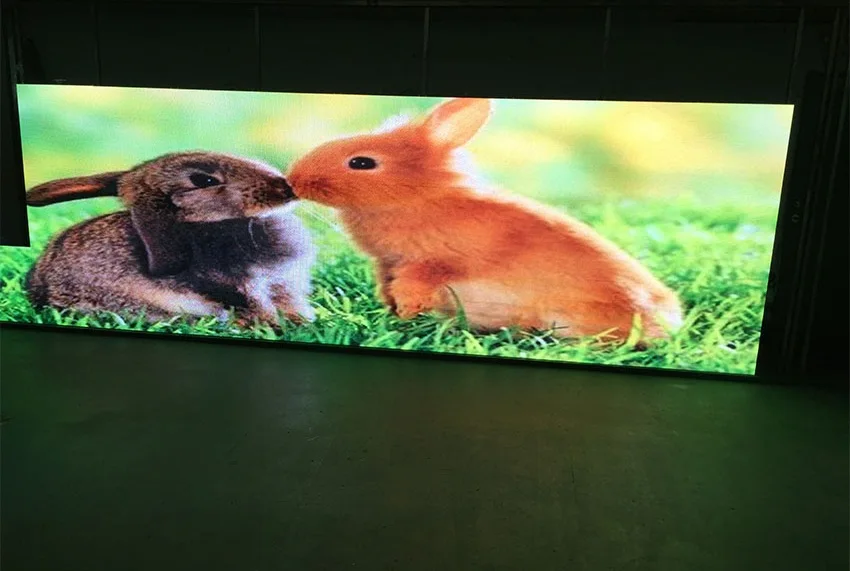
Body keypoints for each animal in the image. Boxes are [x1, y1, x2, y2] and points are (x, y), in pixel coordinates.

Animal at [287, 98, 683, 342]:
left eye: (362, 163)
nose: (293, 180)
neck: (418, 199)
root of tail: (669, 322)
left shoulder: (438, 261)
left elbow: (419, 281)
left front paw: (407, 313)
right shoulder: (387, 264)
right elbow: (388, 286)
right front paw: (395, 314)